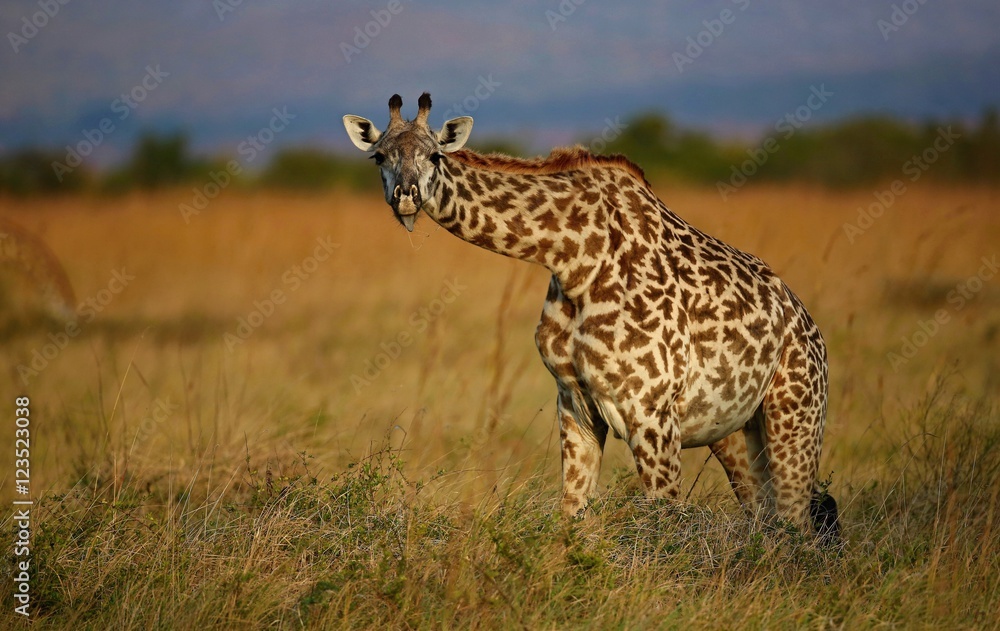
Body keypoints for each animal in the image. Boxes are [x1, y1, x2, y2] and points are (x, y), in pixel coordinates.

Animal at [343, 93, 840, 542]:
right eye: (379, 156)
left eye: (434, 155)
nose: (406, 197)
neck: (573, 257)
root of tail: (809, 327)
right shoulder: (575, 403)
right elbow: (572, 512)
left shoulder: (652, 412)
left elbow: (665, 526)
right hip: (736, 432)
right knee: (767, 519)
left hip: (795, 417)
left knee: (797, 525)